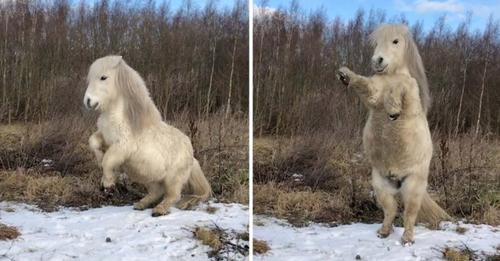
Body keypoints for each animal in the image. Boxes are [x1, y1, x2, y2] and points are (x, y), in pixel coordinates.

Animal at [83, 54, 211, 215]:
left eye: (103, 77)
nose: (87, 101)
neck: (124, 118)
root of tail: (192, 156)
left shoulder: (122, 146)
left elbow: (108, 160)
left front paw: (108, 183)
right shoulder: (105, 137)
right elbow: (93, 142)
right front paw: (101, 162)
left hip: (173, 179)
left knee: (173, 195)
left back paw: (159, 210)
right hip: (151, 177)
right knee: (156, 192)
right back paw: (141, 204)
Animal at [338, 24, 452, 244]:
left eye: (396, 41)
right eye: (376, 42)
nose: (378, 61)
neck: (391, 76)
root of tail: (396, 177)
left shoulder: (411, 96)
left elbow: (402, 89)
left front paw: (393, 109)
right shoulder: (374, 95)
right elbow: (365, 85)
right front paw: (346, 75)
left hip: (413, 186)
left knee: (409, 213)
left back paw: (407, 239)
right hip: (381, 184)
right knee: (390, 210)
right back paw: (383, 232)